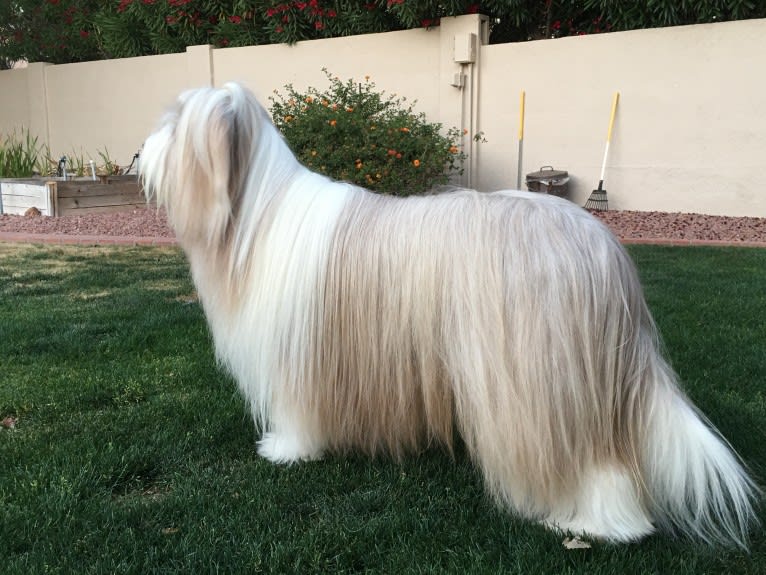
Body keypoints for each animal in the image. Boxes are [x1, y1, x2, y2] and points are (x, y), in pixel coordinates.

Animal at [141, 83, 760, 548]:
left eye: (174, 126)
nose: (139, 153)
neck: (257, 215)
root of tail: (604, 253)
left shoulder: (296, 357)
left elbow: (296, 415)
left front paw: (285, 452)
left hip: (541, 377)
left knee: (592, 463)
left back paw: (595, 525)